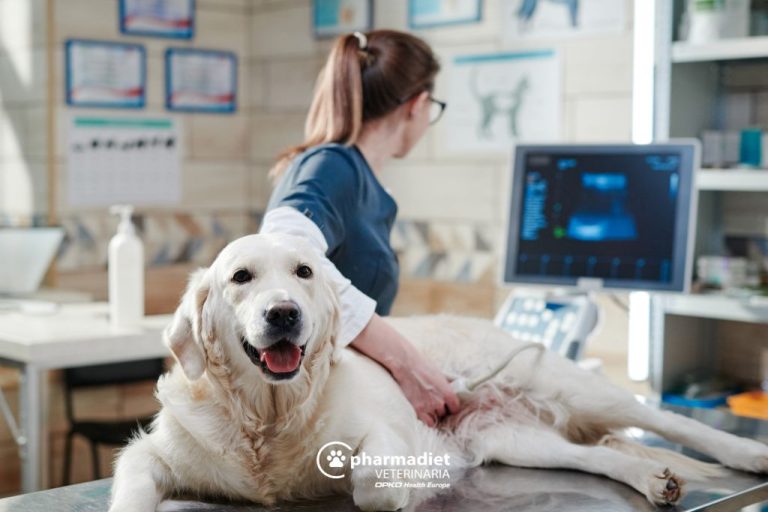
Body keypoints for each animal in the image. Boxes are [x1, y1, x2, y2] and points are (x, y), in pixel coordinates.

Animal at [108, 234, 768, 510]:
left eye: (304, 272)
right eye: (241, 277)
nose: (284, 314)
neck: (267, 419)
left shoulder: (384, 434)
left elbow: (371, 480)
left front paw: (401, 487)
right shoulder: (150, 454)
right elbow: (132, 490)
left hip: (569, 385)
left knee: (669, 422)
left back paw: (748, 454)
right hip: (514, 439)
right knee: (599, 456)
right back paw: (653, 480)